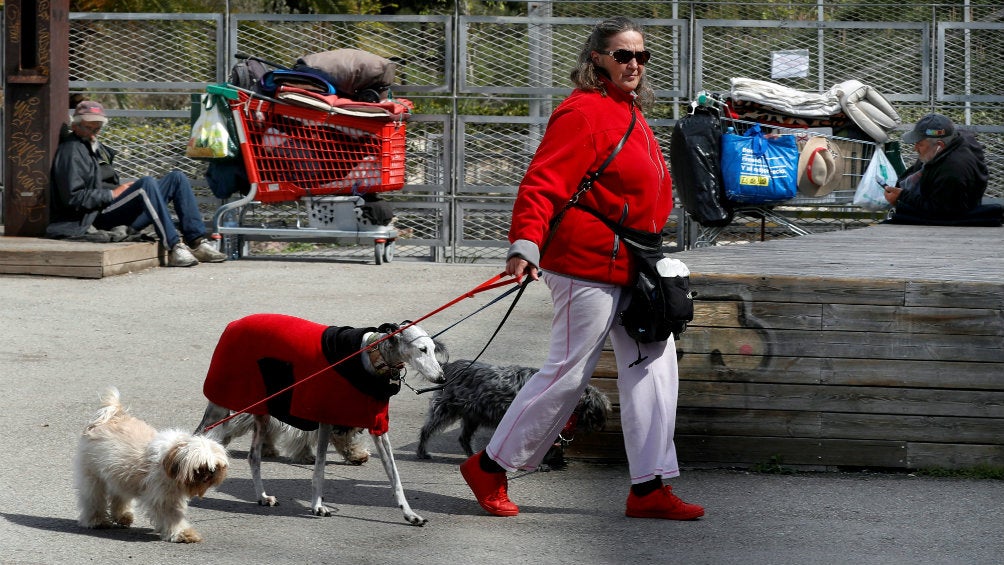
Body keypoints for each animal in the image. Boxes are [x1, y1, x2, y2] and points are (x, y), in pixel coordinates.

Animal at [415, 361, 610, 471]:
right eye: (597, 412)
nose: (602, 426)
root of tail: (449, 367)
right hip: (446, 410)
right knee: (426, 430)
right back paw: (422, 451)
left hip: (473, 417)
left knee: (464, 438)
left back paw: (472, 455)